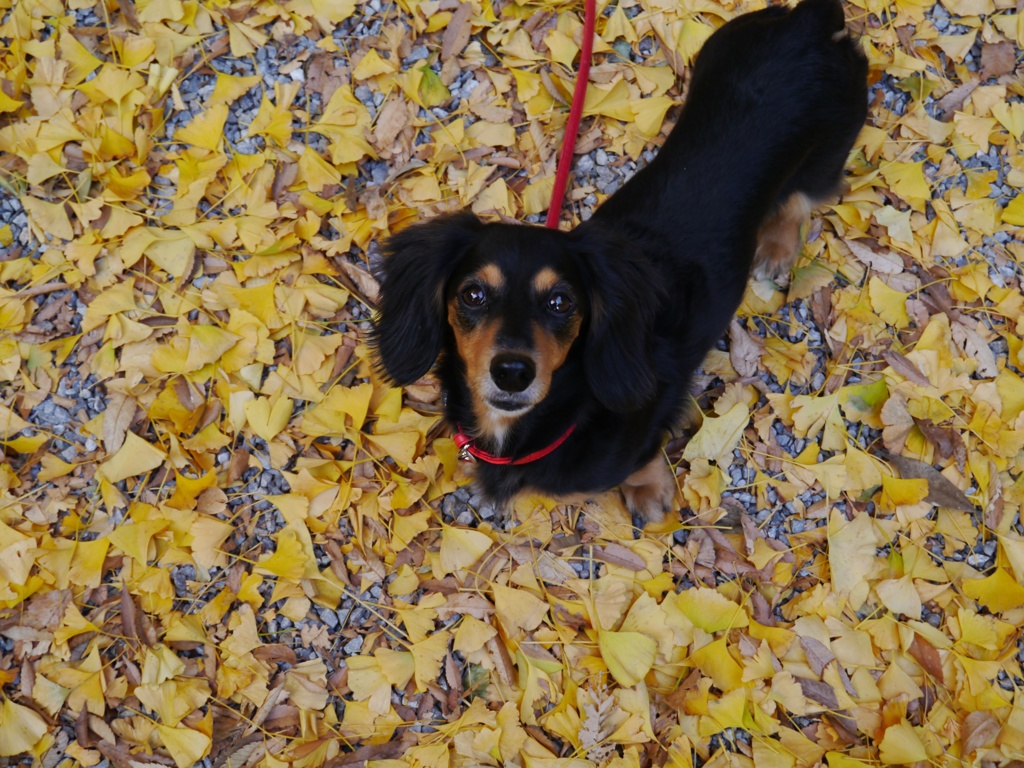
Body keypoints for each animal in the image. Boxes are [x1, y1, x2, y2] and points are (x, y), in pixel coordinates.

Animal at [368, 0, 864, 524]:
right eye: (473, 294)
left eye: (562, 302)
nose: (513, 372)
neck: (562, 414)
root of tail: (807, 23)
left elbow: (642, 458)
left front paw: (648, 490)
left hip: (828, 152)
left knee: (801, 198)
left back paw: (776, 248)